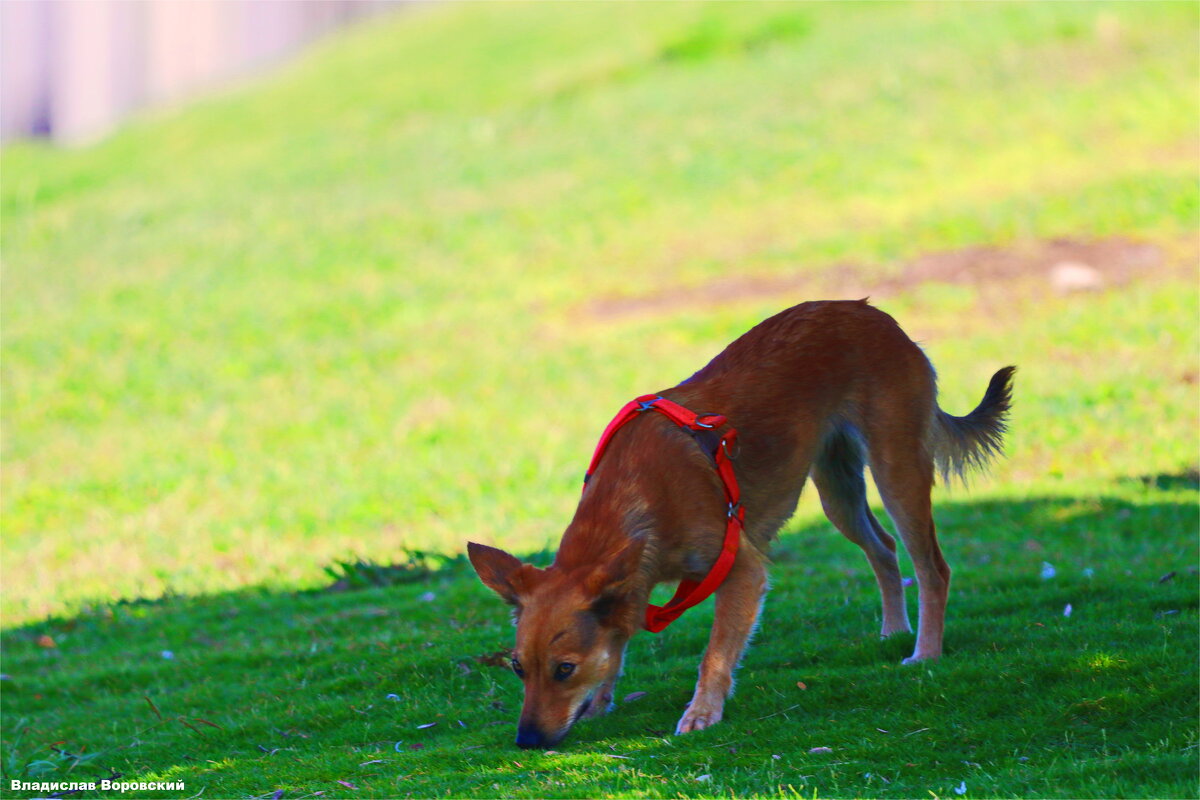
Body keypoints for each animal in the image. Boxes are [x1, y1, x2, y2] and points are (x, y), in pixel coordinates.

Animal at [468, 299, 1012, 753]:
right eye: (518, 667)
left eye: (564, 669)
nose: (526, 741)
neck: (634, 497)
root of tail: (874, 315)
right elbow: (617, 646)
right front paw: (603, 700)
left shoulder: (742, 569)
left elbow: (714, 653)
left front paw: (702, 712)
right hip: (838, 491)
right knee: (882, 549)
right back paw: (894, 631)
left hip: (897, 472)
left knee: (932, 568)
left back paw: (926, 652)